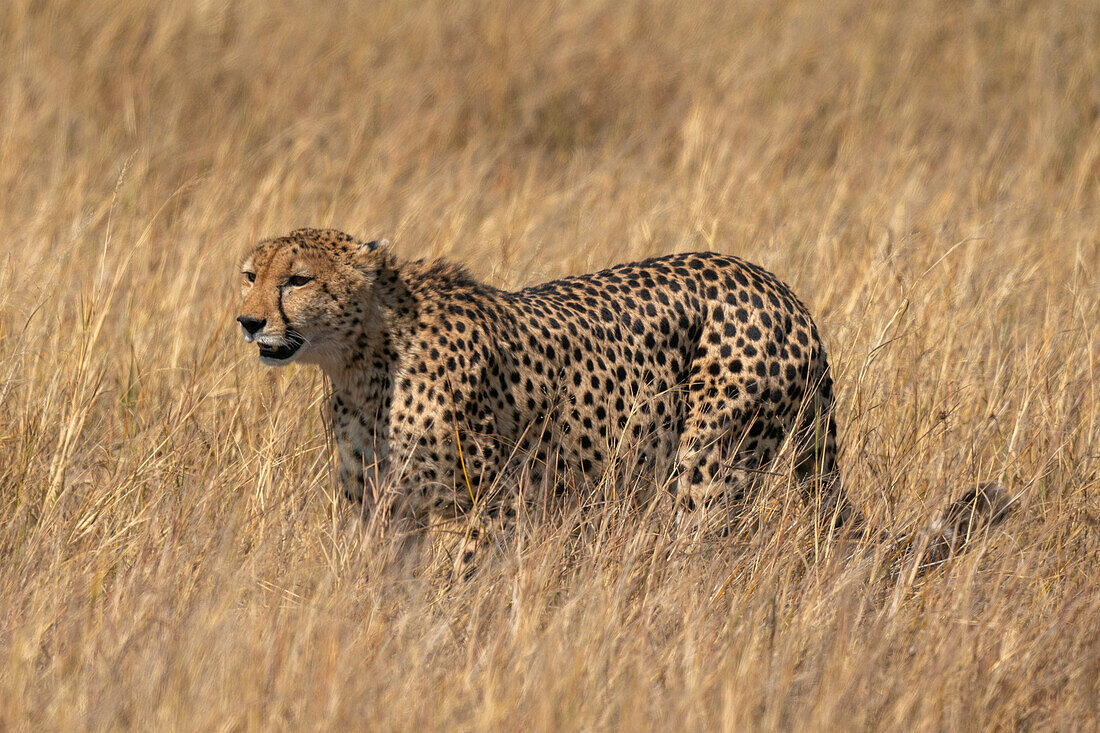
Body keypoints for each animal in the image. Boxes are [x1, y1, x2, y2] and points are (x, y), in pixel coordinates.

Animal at [238, 228, 1007, 572]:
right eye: (249, 274)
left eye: (298, 279)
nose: (247, 321)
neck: (363, 360)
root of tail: (777, 286)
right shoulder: (385, 511)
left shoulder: (497, 504)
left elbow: (461, 584)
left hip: (709, 469)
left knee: (700, 559)